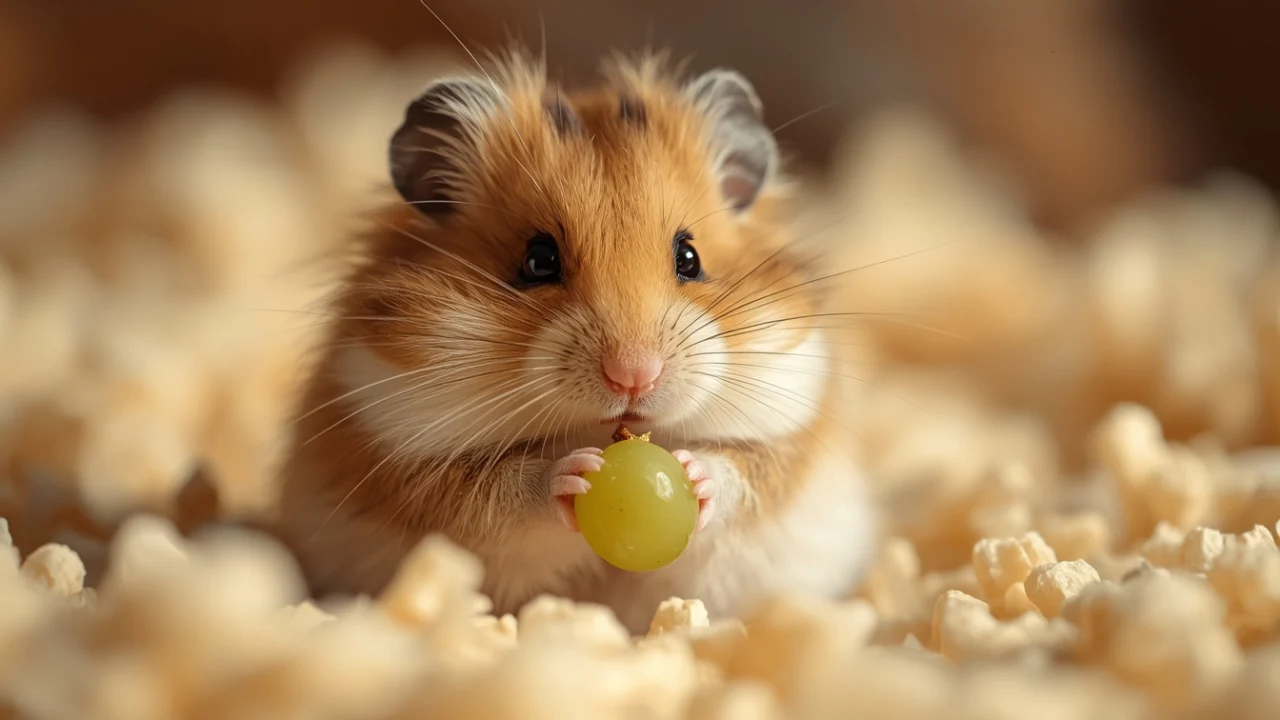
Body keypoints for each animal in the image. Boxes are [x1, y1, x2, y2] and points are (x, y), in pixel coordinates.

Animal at [275, 49, 879, 633]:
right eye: (538, 261)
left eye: (690, 258)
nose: (634, 375)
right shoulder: (401, 460)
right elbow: (496, 493)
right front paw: (575, 474)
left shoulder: (792, 432)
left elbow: (746, 471)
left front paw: (692, 472)